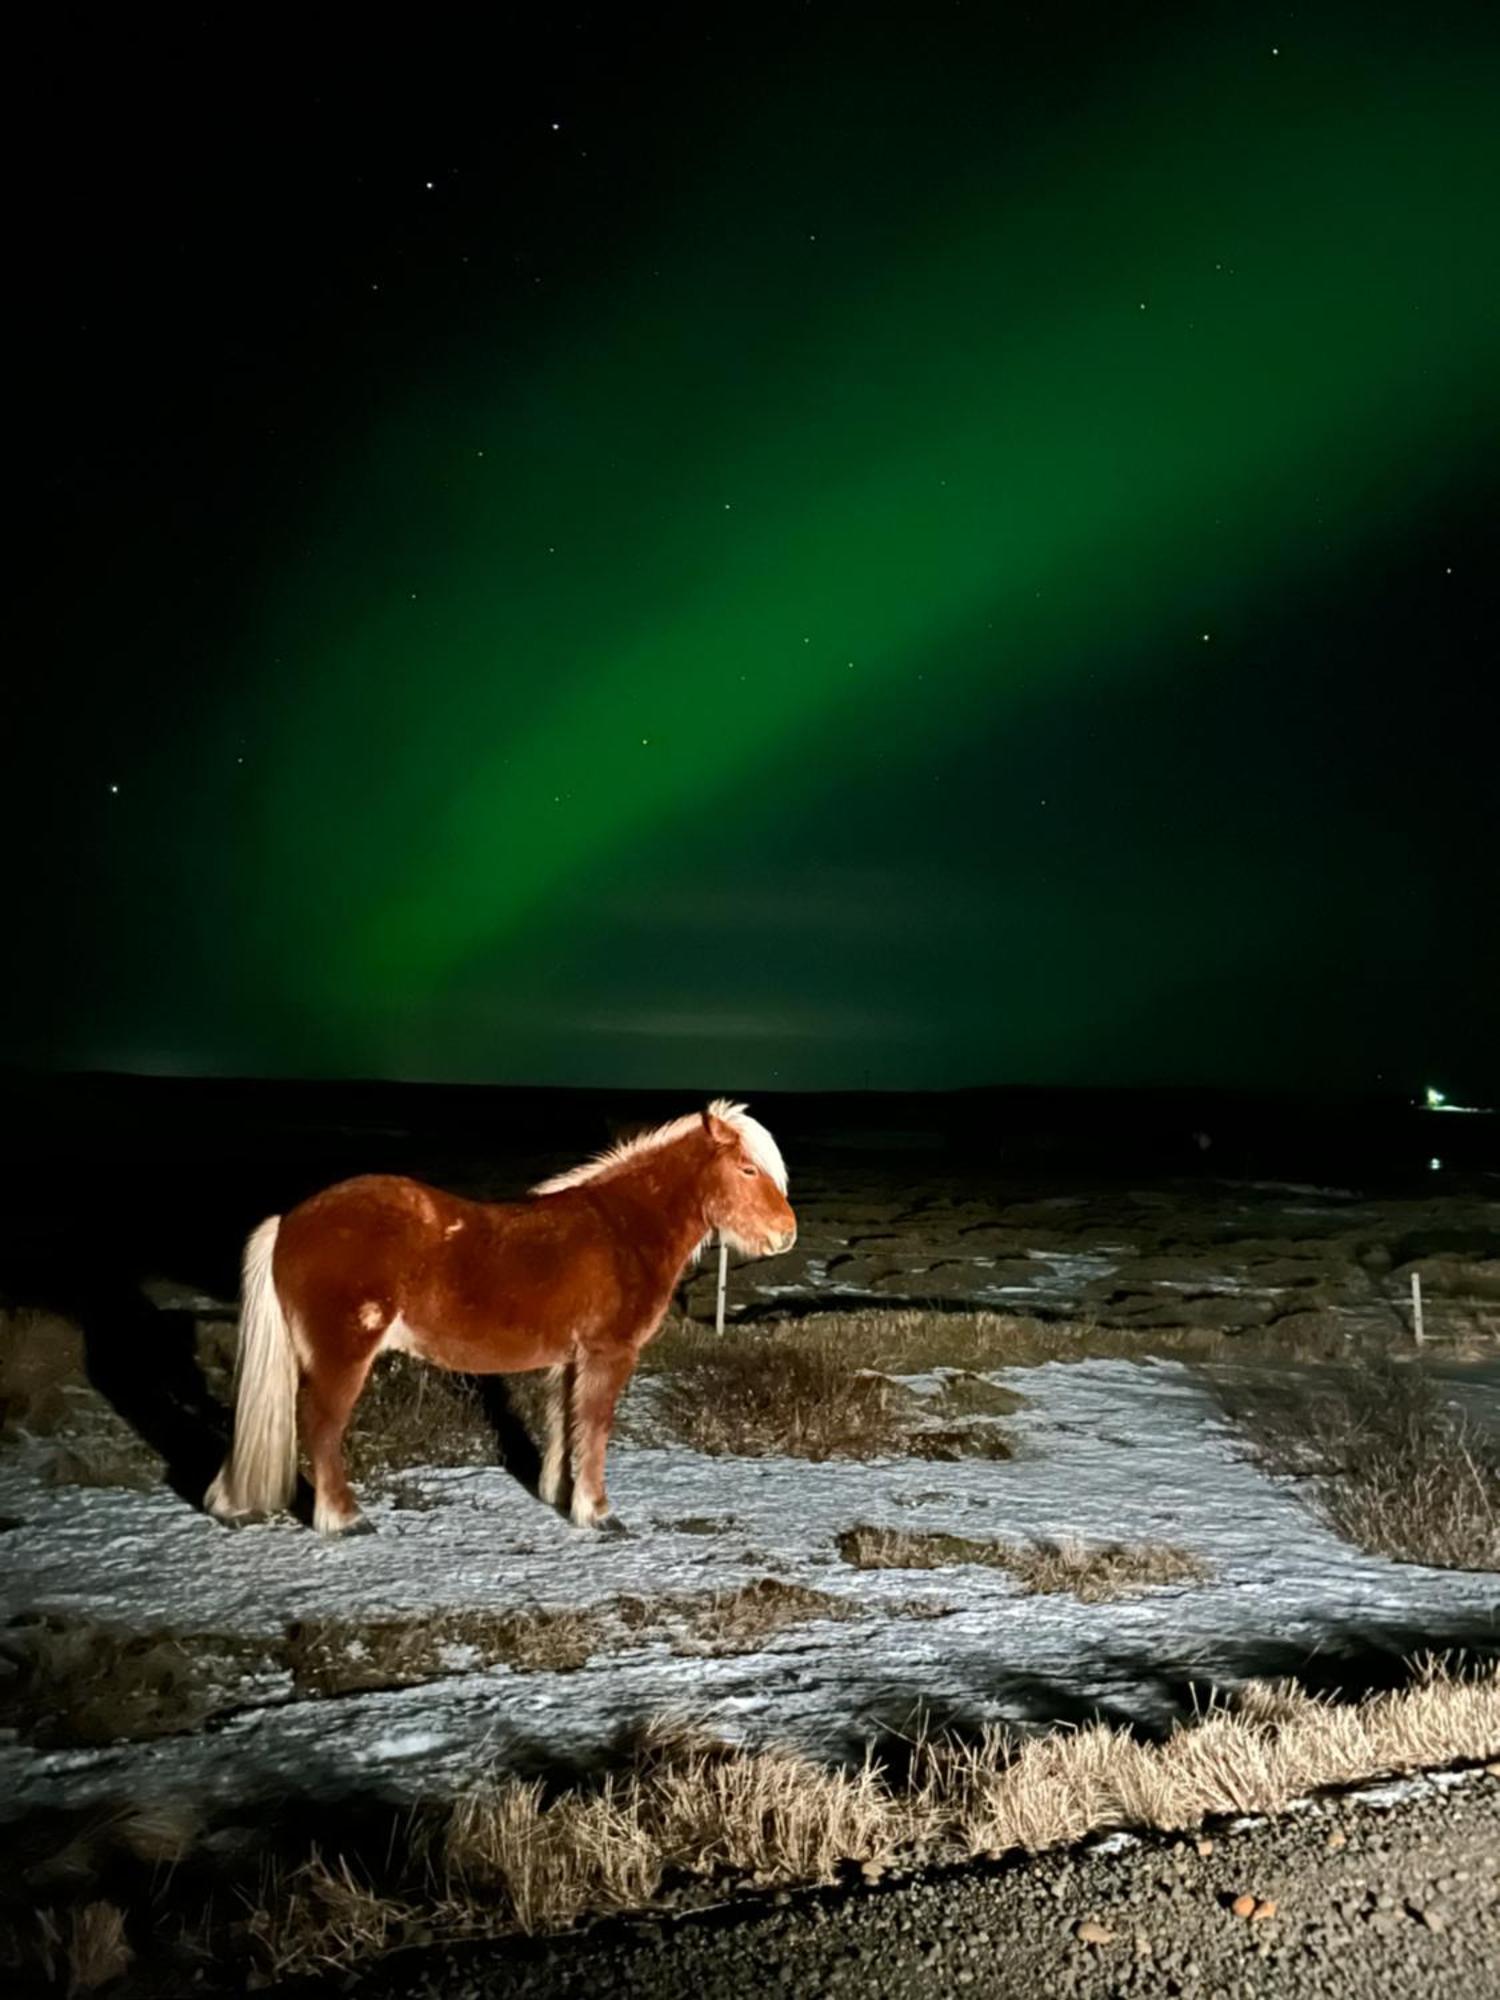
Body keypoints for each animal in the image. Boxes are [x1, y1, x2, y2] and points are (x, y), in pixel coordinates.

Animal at [210, 1104, 800, 1536]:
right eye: (747, 1169)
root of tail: (290, 1222)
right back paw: (345, 1519)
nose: (786, 1234)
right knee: (321, 1427)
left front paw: (558, 1497)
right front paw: (599, 1514)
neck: (621, 1228)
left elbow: (565, 1424)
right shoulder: (608, 1354)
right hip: (342, 1356)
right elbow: (596, 1428)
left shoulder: (571, 1359)